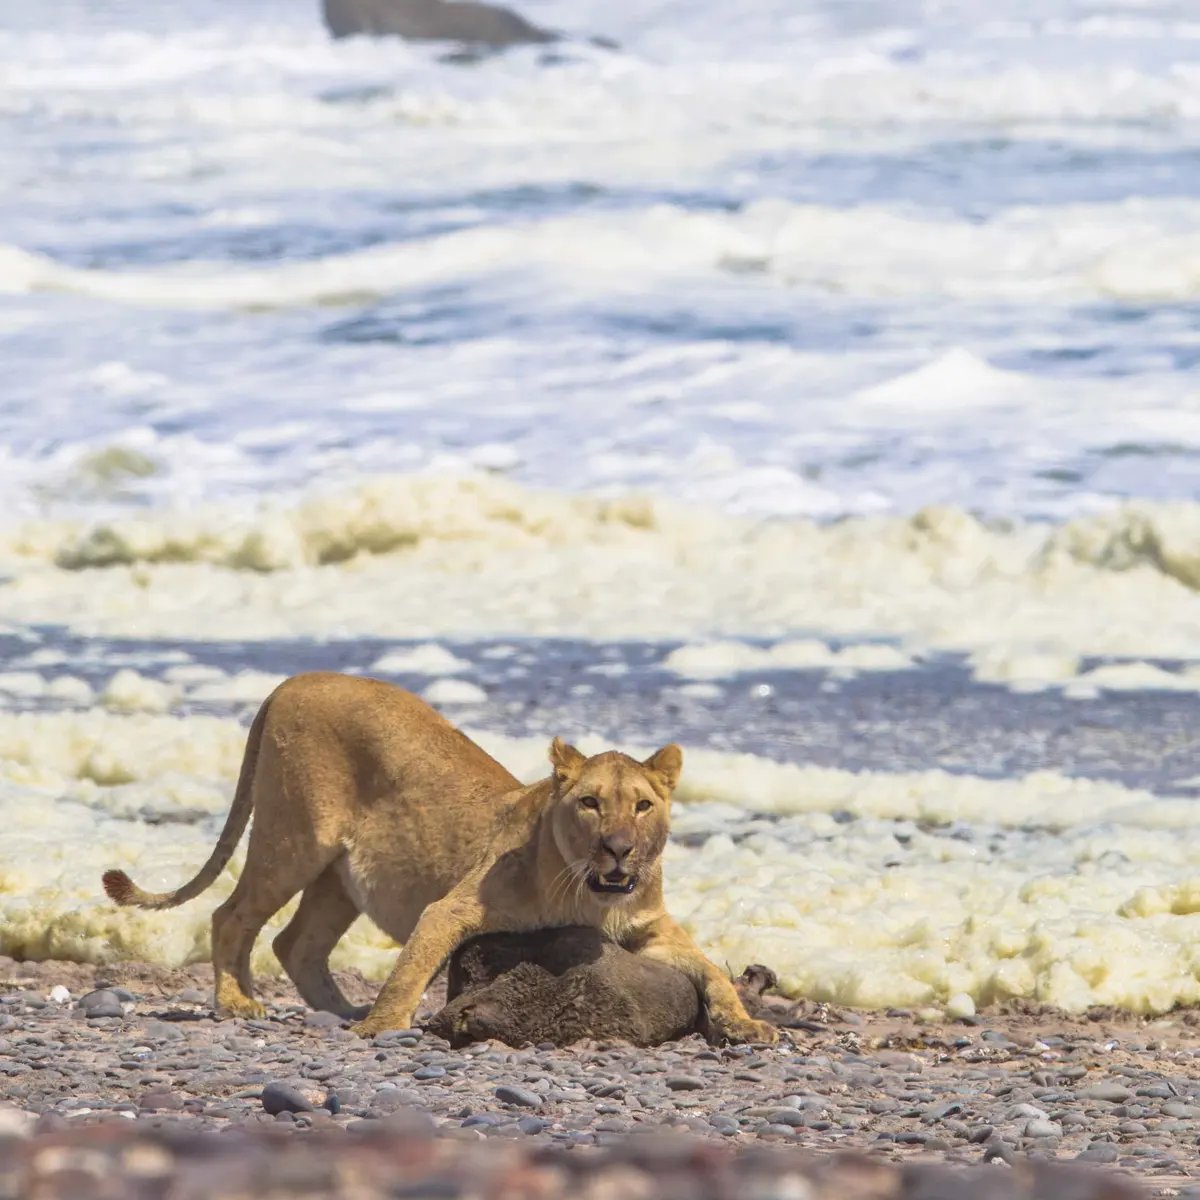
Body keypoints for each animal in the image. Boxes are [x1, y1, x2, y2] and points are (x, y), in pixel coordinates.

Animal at [101, 672, 776, 1044]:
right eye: (589, 803)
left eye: (641, 806)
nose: (617, 849)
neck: (594, 895)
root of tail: (292, 681)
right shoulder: (451, 909)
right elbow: (411, 968)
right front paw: (380, 1029)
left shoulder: (651, 929)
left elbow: (712, 970)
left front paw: (749, 1026)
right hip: (293, 838)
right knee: (232, 915)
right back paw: (240, 1003)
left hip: (338, 877)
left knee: (295, 942)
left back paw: (339, 1009)